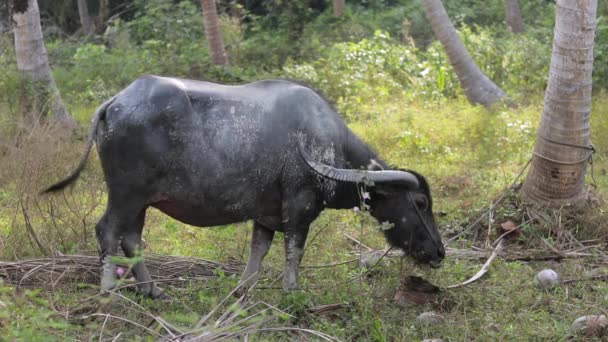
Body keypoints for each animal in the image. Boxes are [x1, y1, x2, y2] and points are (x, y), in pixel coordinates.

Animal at [41, 76, 442, 298]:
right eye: (421, 202)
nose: (439, 252)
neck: (326, 144)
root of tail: (115, 103)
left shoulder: (265, 215)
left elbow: (258, 252)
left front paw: (243, 290)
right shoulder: (298, 209)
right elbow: (293, 252)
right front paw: (292, 293)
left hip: (141, 201)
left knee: (131, 237)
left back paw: (152, 290)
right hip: (126, 194)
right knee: (108, 231)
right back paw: (110, 290)